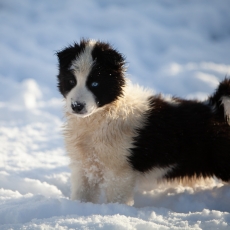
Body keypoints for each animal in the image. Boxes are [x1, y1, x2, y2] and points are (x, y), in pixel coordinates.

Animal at [56, 39, 230, 205]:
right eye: (71, 81)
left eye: (95, 84)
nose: (77, 106)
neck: (103, 115)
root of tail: (216, 108)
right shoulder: (84, 165)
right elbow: (82, 194)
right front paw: (80, 207)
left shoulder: (119, 171)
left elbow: (116, 199)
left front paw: (114, 211)